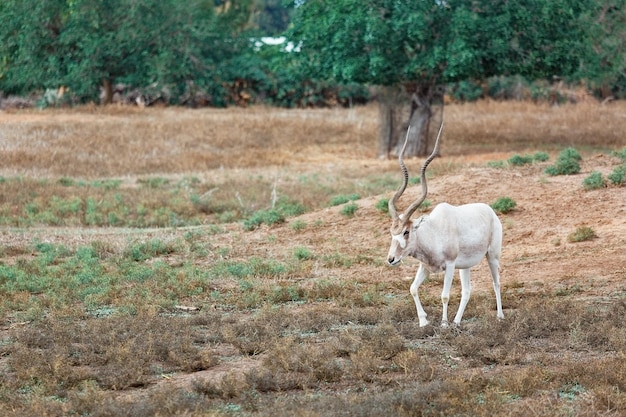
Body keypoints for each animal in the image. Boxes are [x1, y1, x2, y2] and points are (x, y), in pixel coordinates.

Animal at [386, 123, 502, 328]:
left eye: (406, 231)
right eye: (392, 233)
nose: (391, 259)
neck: (433, 233)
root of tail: (490, 211)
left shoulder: (449, 265)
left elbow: (445, 296)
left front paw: (444, 324)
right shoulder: (425, 266)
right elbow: (413, 288)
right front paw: (424, 321)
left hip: (492, 256)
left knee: (496, 283)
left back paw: (499, 317)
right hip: (465, 267)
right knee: (467, 290)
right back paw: (457, 321)